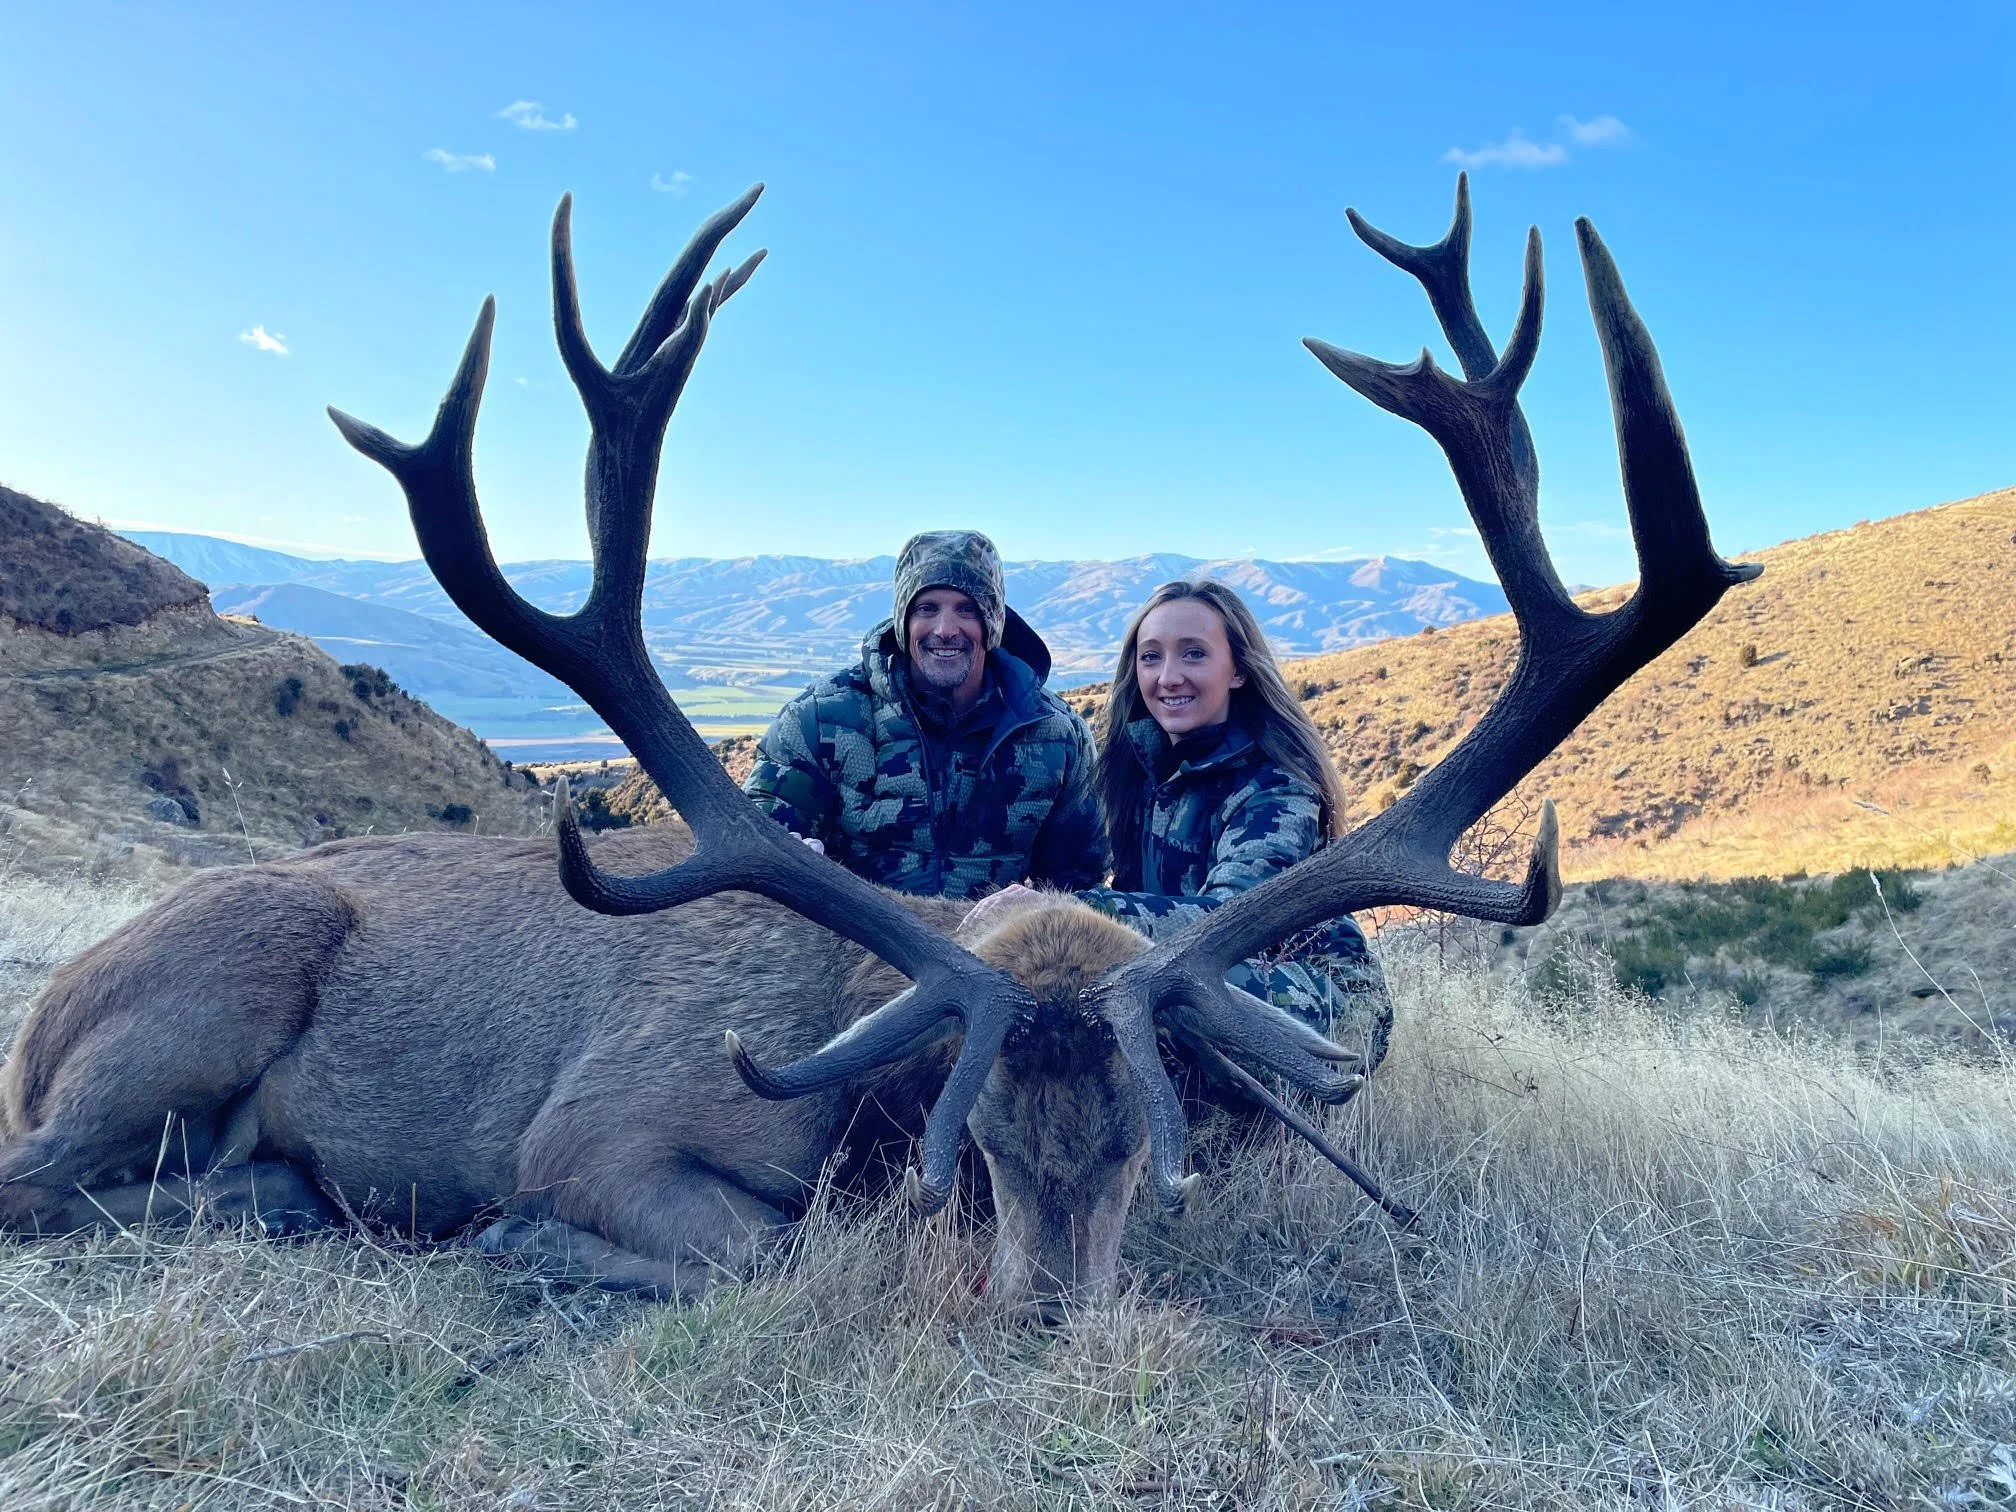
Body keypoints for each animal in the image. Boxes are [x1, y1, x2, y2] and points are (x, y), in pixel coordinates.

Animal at [0, 177, 1756, 1318]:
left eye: (1150, 1143)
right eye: (967, 1146)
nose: (1048, 1309)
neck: (853, 1064)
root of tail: (44, 1019)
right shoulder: (594, 1128)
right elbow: (767, 1243)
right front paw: (524, 1245)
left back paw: (278, 1196)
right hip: (212, 984)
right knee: (36, 1184)